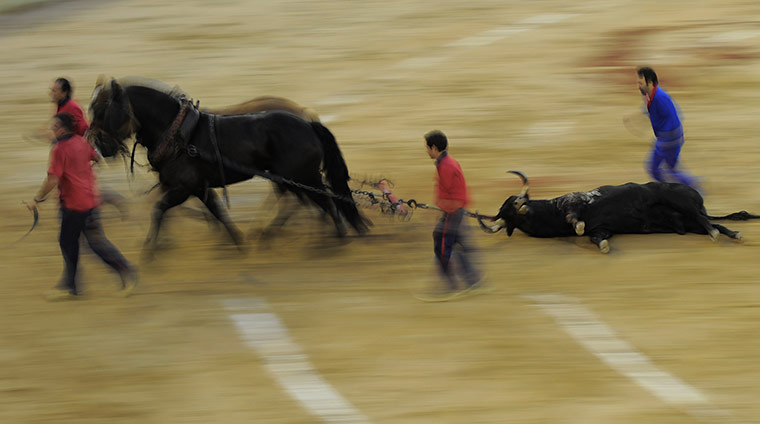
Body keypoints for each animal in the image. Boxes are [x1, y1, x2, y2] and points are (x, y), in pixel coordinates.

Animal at [88, 78, 370, 254]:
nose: (101, 147)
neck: (177, 133)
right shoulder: (196, 187)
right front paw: (236, 241)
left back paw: (331, 236)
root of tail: (308, 122)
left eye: (103, 111)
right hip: (290, 178)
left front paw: (150, 250)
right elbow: (216, 212)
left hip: (301, 177)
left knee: (323, 202)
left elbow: (159, 209)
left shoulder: (184, 188)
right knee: (307, 202)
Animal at [477, 171, 760, 253]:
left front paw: (577, 226)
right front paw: (603, 247)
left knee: (704, 218)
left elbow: (575, 217)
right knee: (714, 223)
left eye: (515, 209)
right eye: (507, 218)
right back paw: (732, 234)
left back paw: (717, 233)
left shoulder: (574, 203)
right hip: (689, 224)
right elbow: (597, 238)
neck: (551, 213)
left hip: (679, 200)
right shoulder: (602, 229)